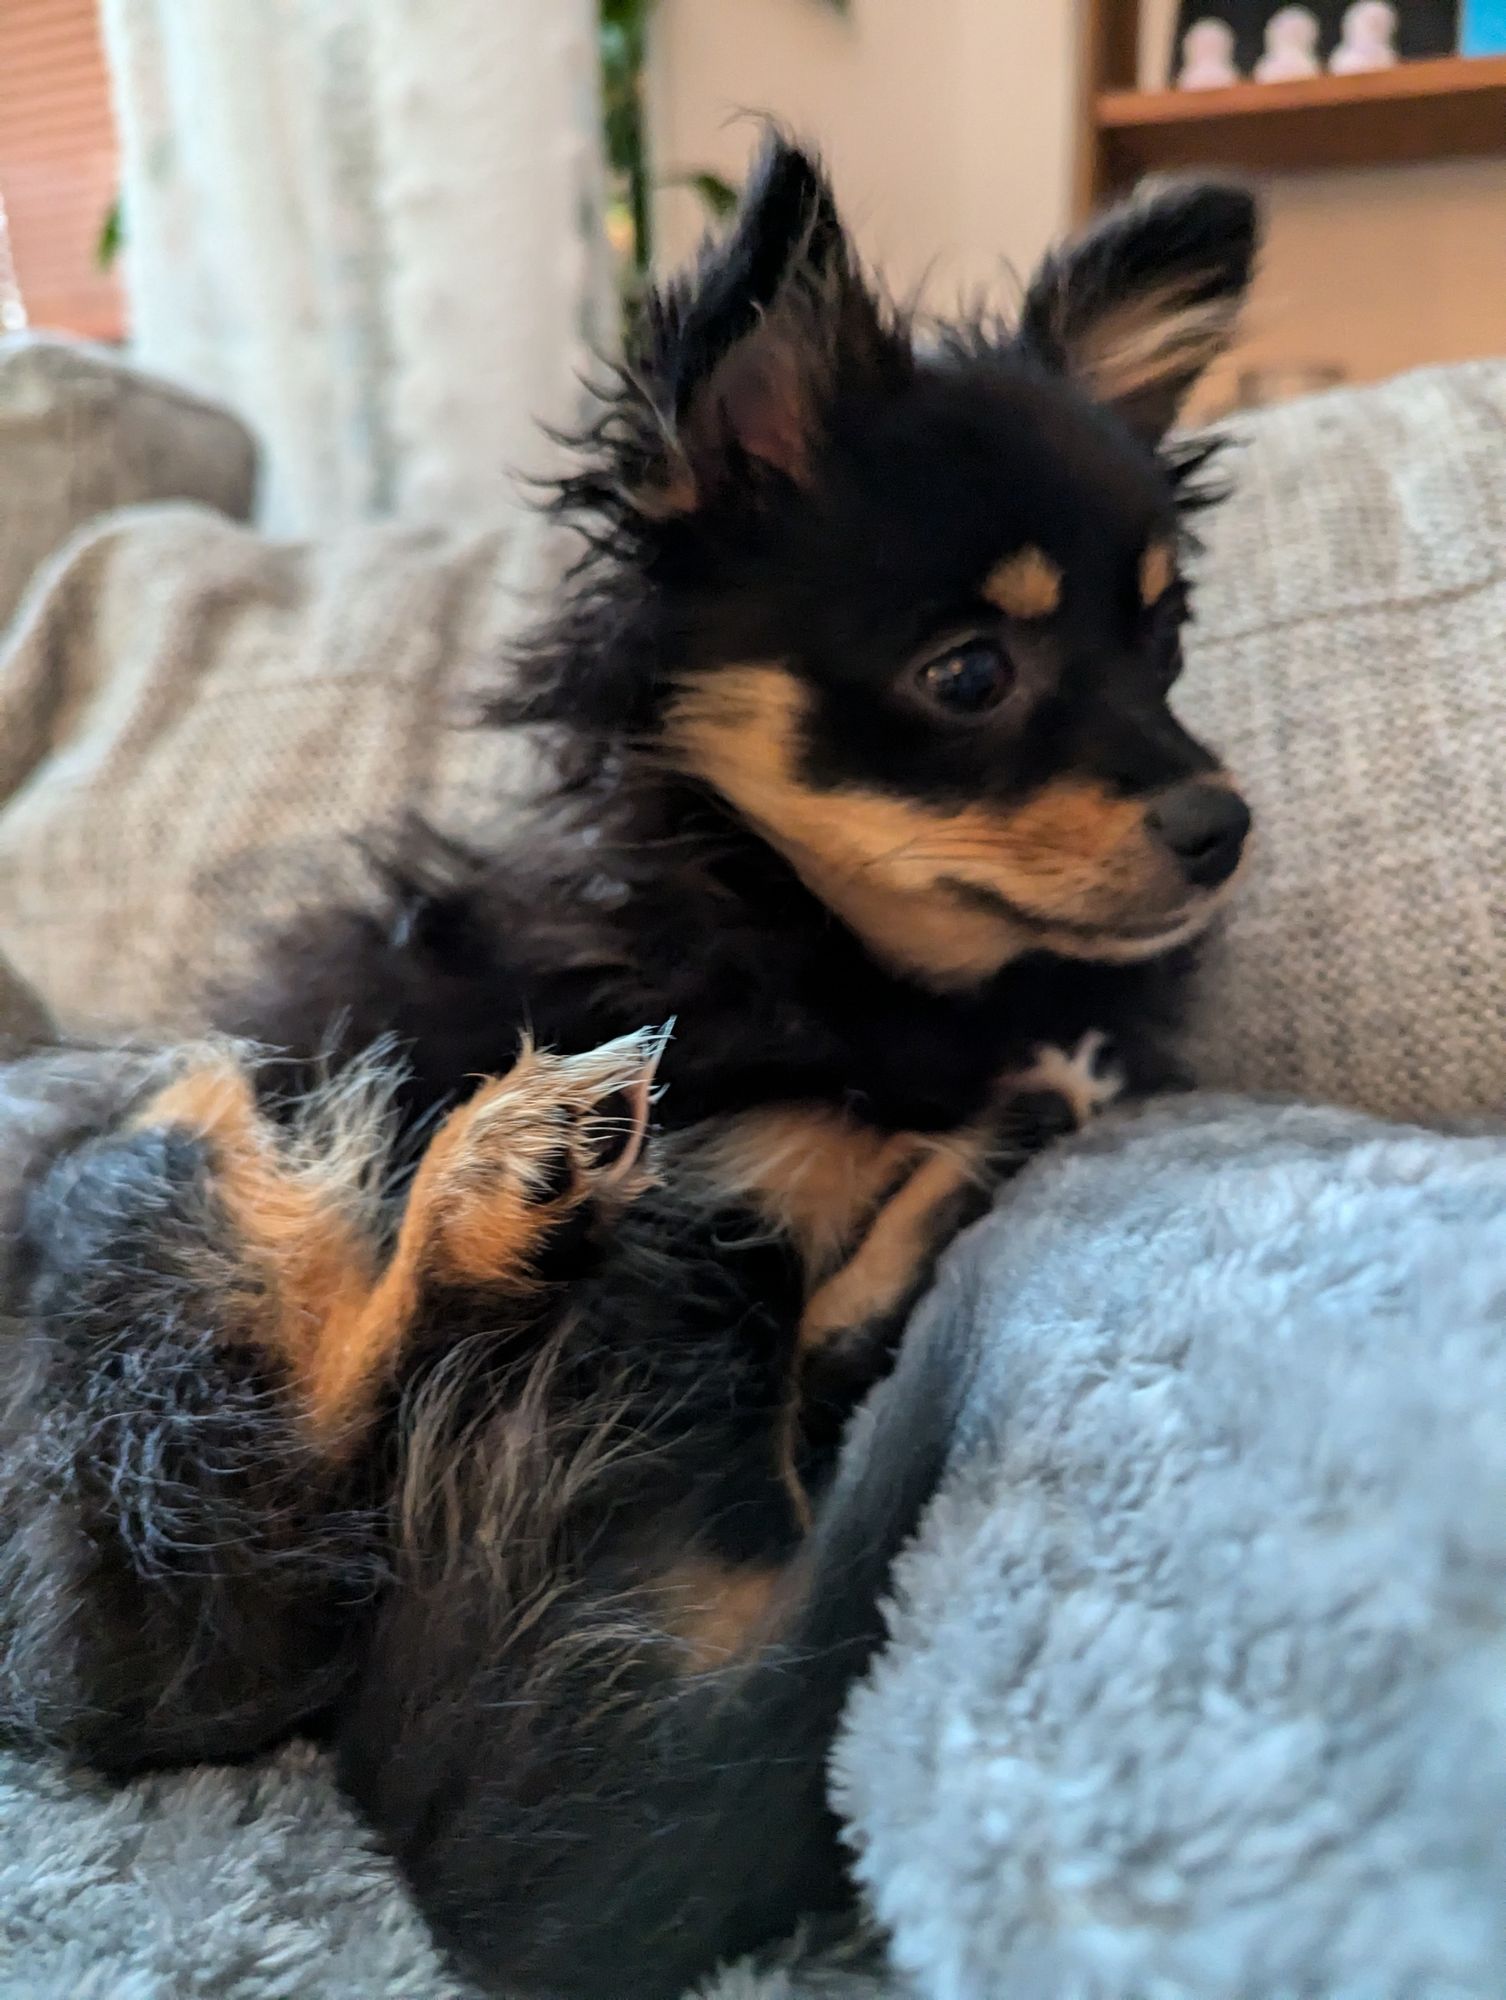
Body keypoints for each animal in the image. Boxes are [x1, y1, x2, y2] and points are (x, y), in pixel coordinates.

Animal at [0, 145, 1248, 2000]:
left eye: (1164, 650)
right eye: (970, 674)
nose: (1222, 820)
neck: (847, 966)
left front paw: (1005, 1104)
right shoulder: (730, 1192)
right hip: (156, 1284)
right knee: (252, 1543)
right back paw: (485, 1174)